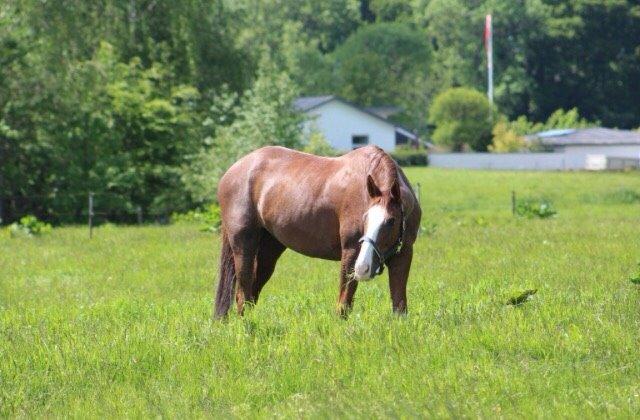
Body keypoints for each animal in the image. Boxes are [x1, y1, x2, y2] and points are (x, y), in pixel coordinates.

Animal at [215, 145, 422, 318]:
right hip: (243, 245)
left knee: (252, 293)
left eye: (391, 221)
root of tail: (232, 171)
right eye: (365, 218)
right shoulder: (351, 252)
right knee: (242, 295)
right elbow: (343, 305)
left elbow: (399, 306)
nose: (363, 268)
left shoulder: (403, 255)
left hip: (269, 248)